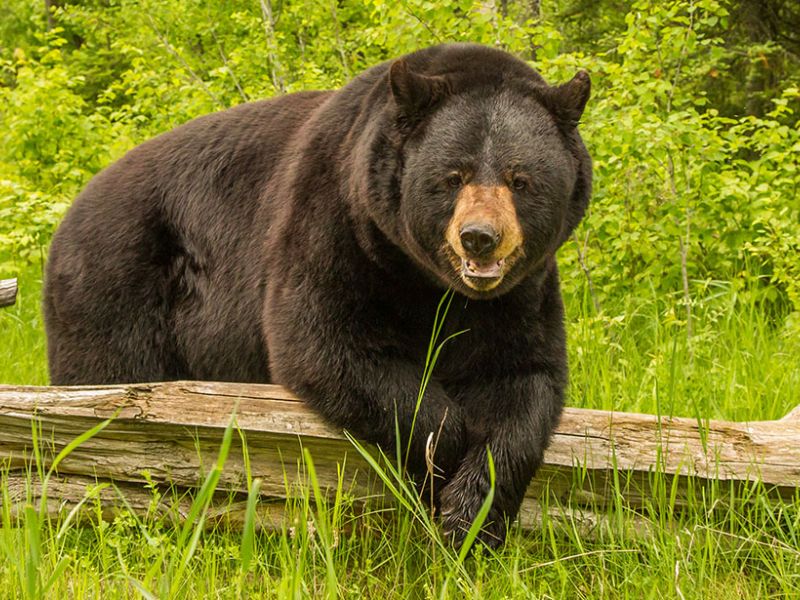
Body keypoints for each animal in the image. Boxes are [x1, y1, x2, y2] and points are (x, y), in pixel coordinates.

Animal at [44, 43, 591, 548]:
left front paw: (470, 516)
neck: (429, 281)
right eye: (453, 176)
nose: (479, 237)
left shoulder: (519, 292)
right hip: (116, 282)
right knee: (107, 374)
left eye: (520, 179)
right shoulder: (334, 225)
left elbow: (527, 380)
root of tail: (69, 216)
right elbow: (330, 345)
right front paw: (440, 461)